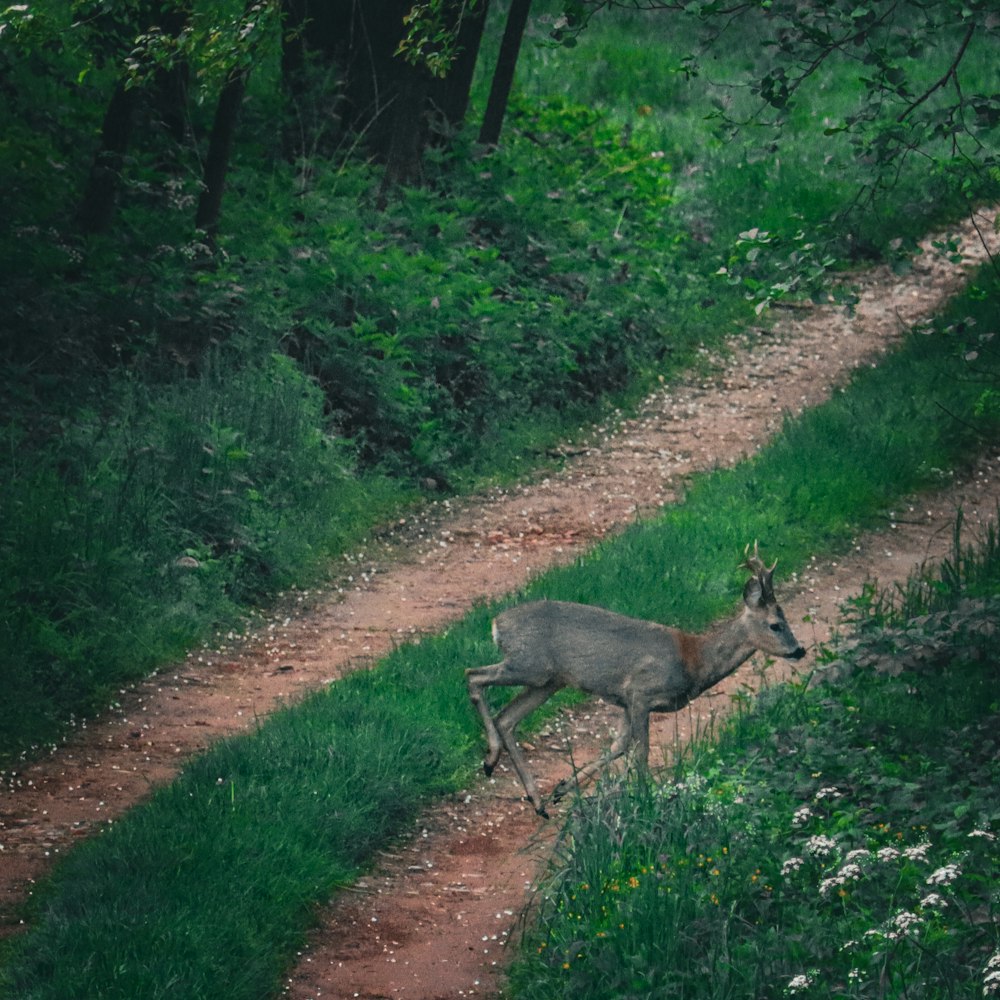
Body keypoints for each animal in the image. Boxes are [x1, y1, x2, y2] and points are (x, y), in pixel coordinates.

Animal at [466, 544, 804, 816]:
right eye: (775, 624)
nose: (799, 650)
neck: (695, 661)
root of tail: (496, 623)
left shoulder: (625, 701)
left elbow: (618, 746)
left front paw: (564, 788)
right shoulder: (641, 691)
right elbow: (640, 752)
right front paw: (642, 803)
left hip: (548, 681)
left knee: (506, 717)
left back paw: (535, 800)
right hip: (529, 664)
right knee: (473, 676)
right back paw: (492, 760)